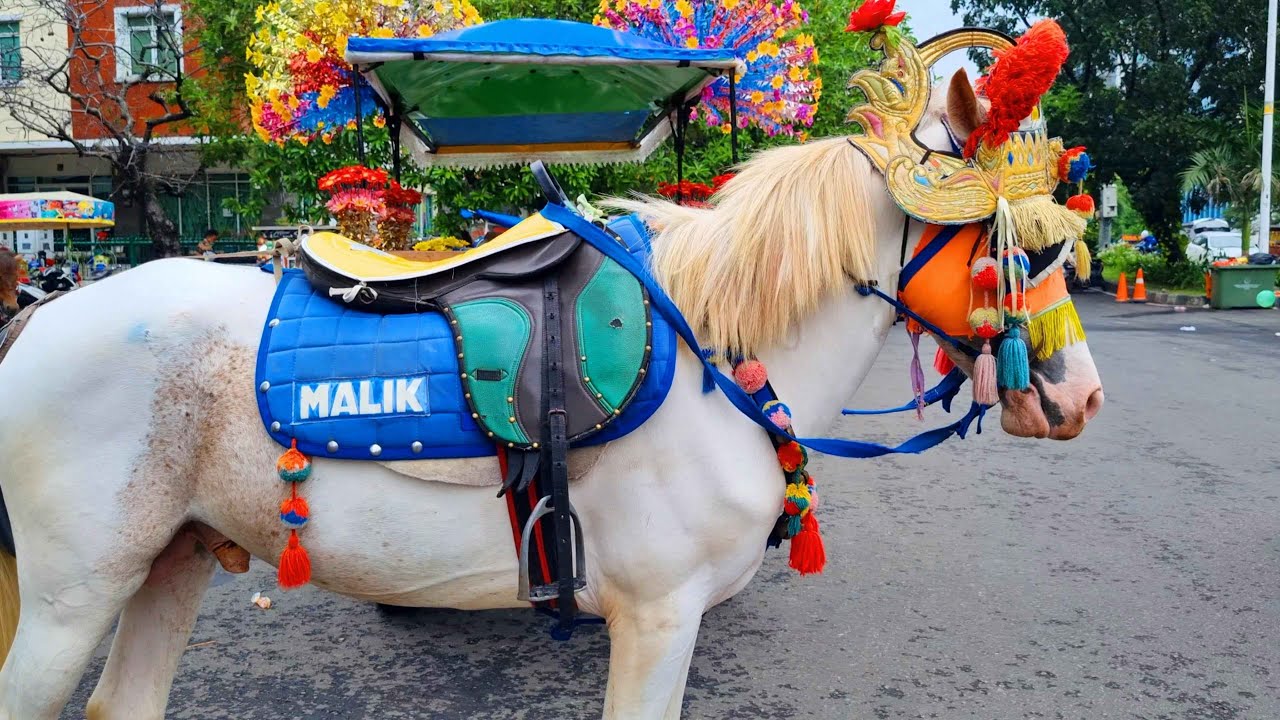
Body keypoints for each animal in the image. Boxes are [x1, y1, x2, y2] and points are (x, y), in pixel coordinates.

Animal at [0, 73, 1103, 720]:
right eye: (1021, 243)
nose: (1079, 398)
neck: (713, 361)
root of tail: (40, 318)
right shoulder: (658, 619)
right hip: (70, 598)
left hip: (171, 559)